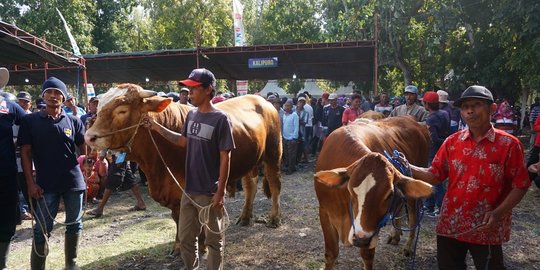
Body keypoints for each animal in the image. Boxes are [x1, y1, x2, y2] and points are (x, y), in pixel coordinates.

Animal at [314, 116, 432, 270]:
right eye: (351, 190)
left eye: (389, 195)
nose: (361, 239)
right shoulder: (325, 211)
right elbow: (331, 254)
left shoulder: (372, 228)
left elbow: (367, 256)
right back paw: (395, 235)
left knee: (413, 216)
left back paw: (408, 247)